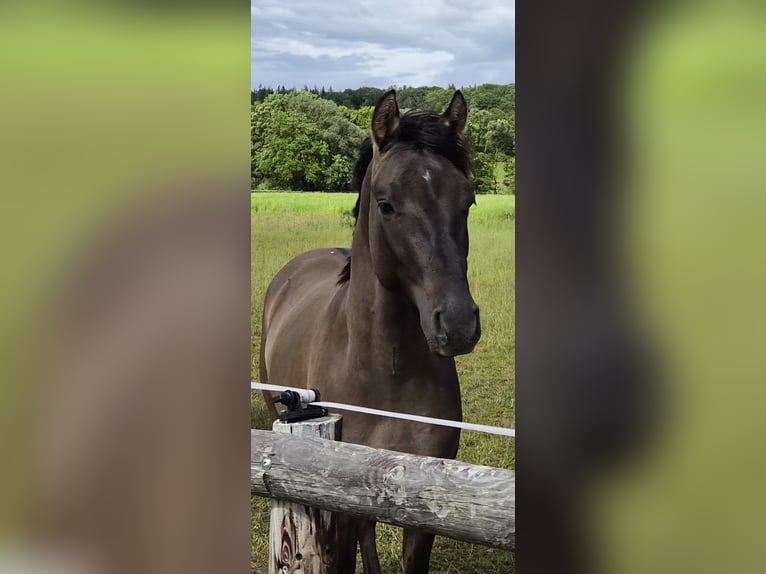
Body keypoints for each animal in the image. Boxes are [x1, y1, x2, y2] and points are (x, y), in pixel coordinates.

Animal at [259, 89, 480, 574]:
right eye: (386, 204)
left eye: (468, 201)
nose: (458, 325)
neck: (387, 372)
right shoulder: (338, 502)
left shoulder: (423, 504)